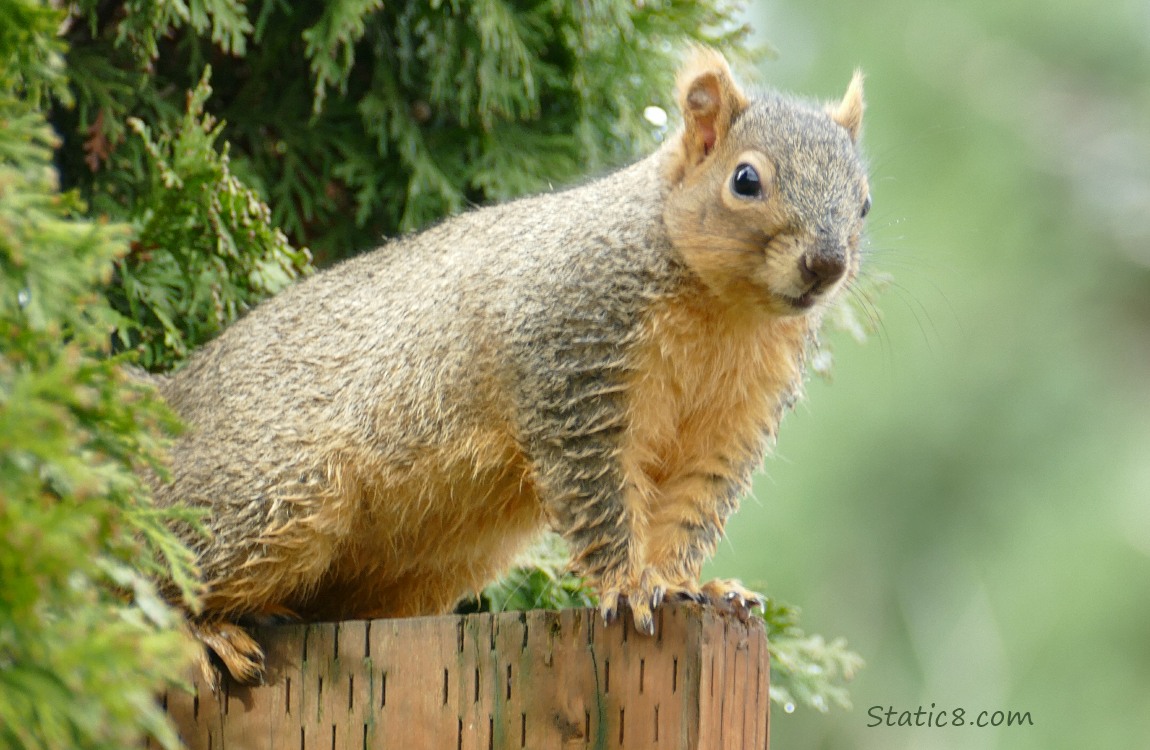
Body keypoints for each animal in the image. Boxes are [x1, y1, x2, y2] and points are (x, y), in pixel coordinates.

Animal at [152, 48, 869, 685]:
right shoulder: (571, 366)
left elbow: (689, 511)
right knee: (159, 571)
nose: (827, 265)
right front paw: (629, 585)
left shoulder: (732, 424)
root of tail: (168, 405)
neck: (725, 312)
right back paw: (205, 632)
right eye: (746, 180)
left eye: (863, 203)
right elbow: (601, 498)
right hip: (274, 497)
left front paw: (686, 584)